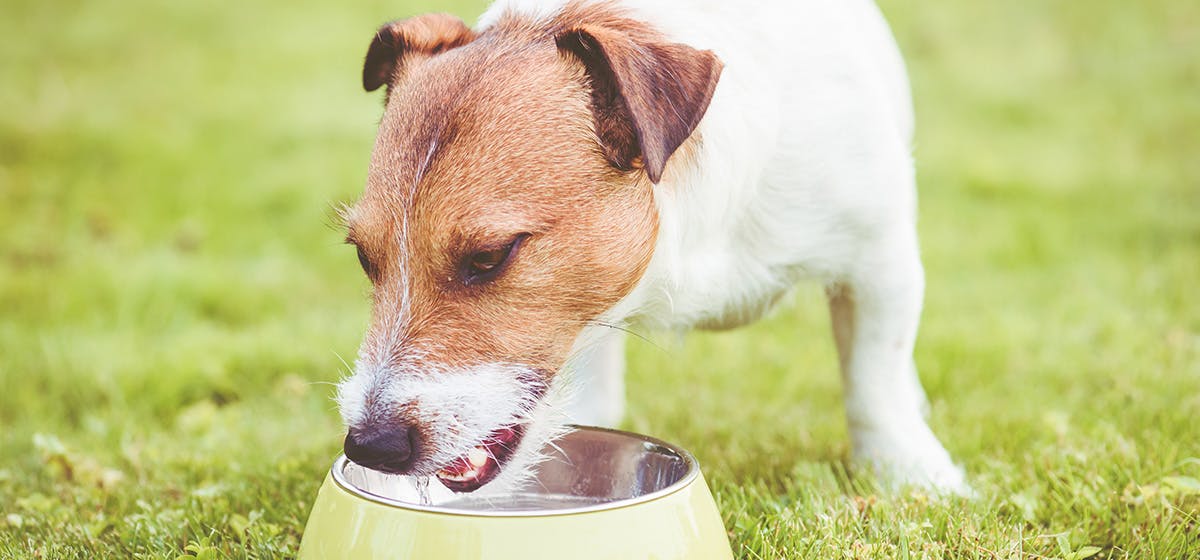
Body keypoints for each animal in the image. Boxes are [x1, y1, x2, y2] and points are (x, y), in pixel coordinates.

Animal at [333, 0, 969, 494]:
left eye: (490, 257)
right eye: (363, 258)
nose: (370, 445)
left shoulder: (878, 257)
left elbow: (875, 378)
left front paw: (914, 476)